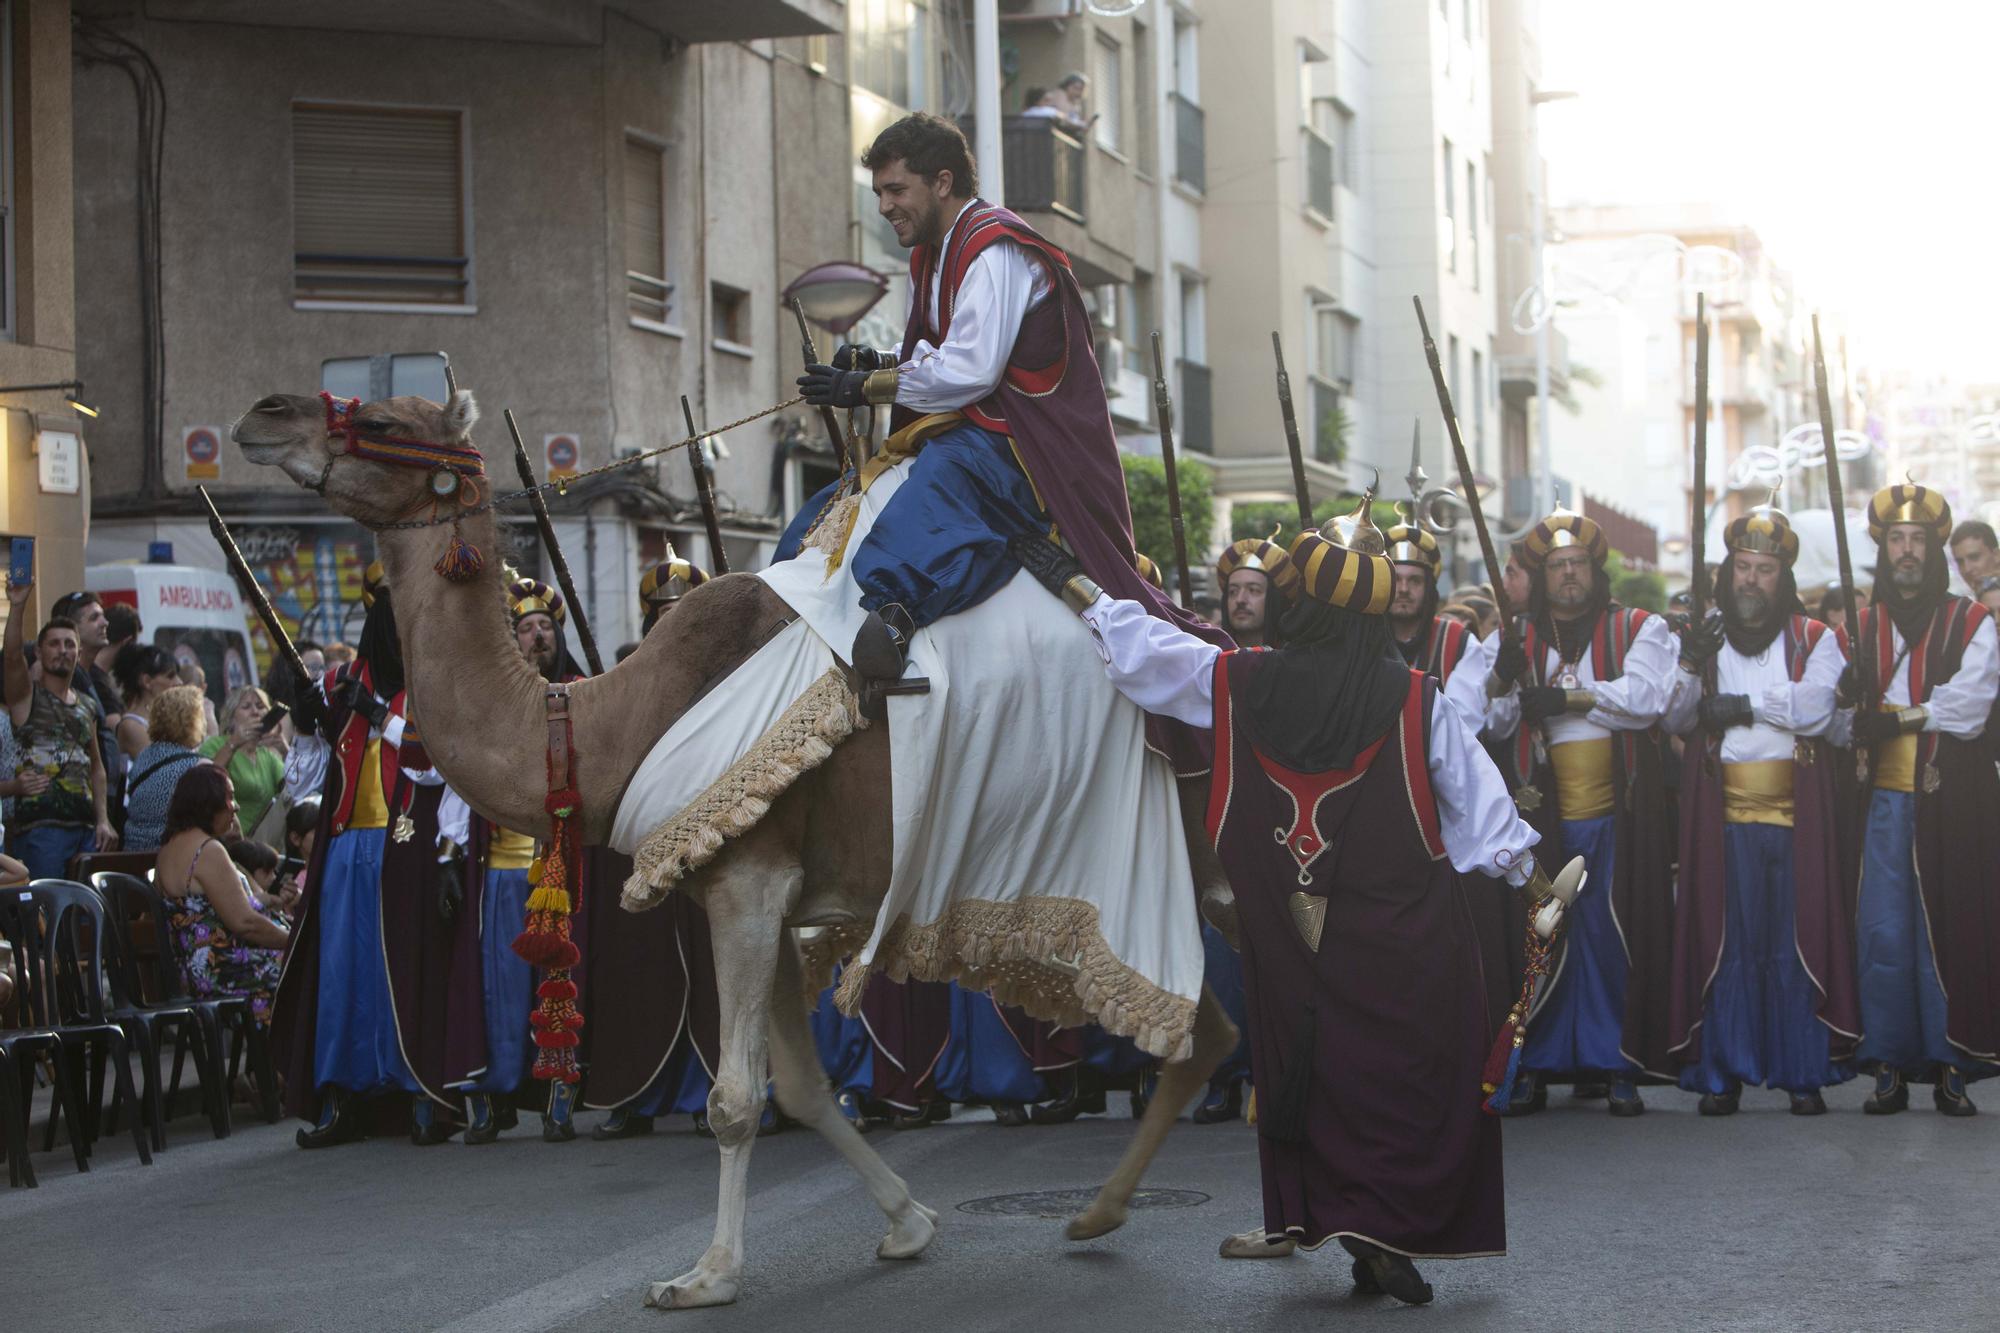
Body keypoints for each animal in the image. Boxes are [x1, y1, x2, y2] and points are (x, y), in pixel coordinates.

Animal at [234, 390, 1232, 1304]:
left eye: (382, 417)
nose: (263, 414)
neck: (607, 722)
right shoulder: (764, 897)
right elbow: (799, 1086)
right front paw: (907, 1222)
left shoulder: (748, 882)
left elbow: (735, 1098)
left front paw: (707, 1273)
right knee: (1205, 1035)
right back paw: (1101, 1210)